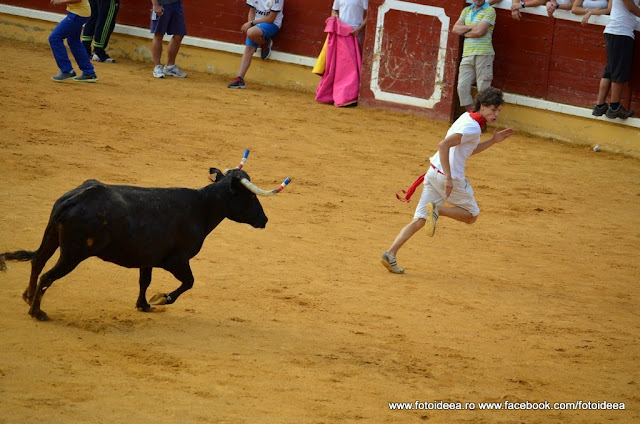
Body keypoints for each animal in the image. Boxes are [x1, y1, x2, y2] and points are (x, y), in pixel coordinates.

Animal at [0, 151, 290, 320]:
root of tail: (75, 197)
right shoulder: (177, 260)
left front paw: (143, 304)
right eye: (249, 196)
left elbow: (144, 280)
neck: (202, 207)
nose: (264, 220)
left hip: (52, 238)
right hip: (73, 253)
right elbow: (189, 282)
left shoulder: (147, 258)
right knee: (48, 275)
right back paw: (37, 311)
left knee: (37, 262)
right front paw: (161, 299)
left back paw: (27, 296)